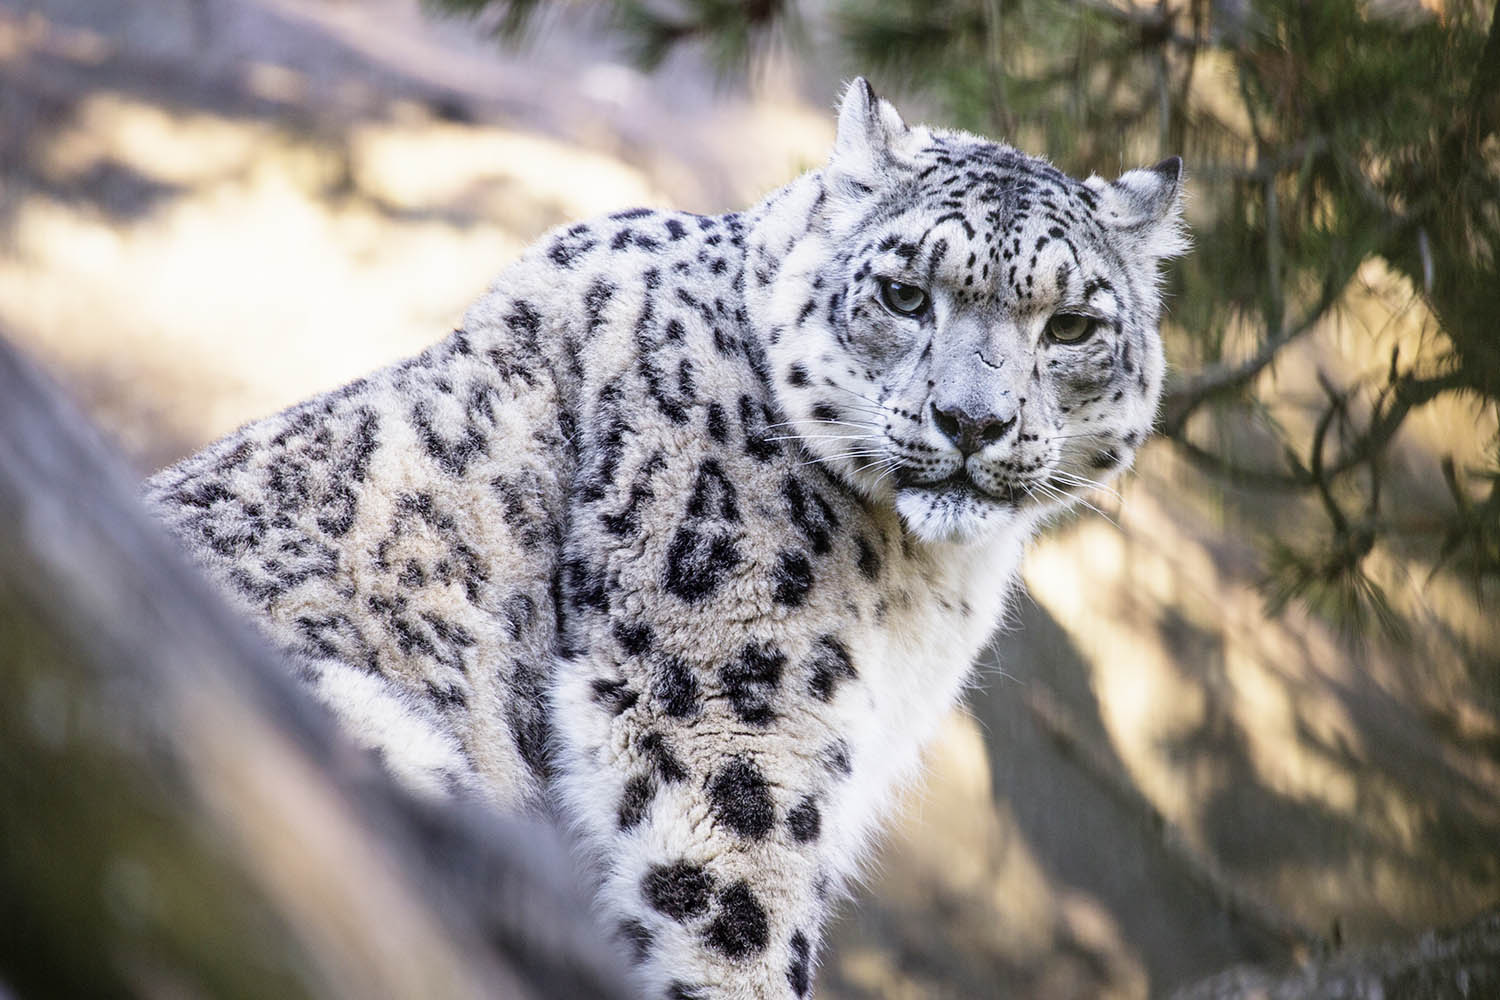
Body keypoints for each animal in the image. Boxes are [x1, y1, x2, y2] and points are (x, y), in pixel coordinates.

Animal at [143, 78, 1186, 999]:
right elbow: (736, 920)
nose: (972, 422)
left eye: (1072, 325)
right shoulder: (729, 715)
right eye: (902, 294)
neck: (921, 589)